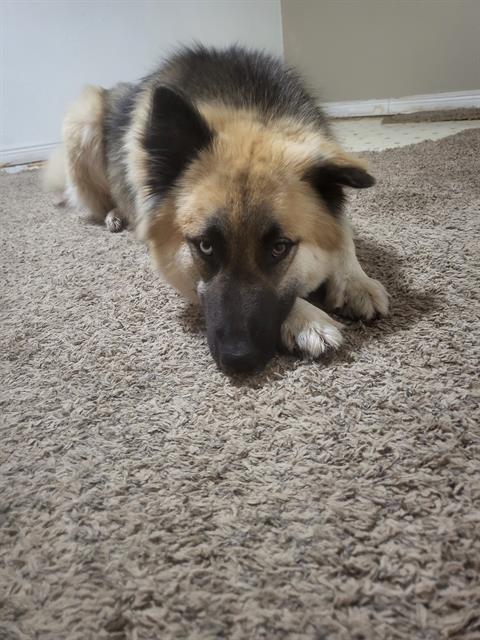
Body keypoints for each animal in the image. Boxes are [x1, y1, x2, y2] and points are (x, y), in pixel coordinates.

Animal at [44, 45, 390, 372]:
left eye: (279, 248)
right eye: (205, 246)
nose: (238, 359)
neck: (246, 108)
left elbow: (343, 233)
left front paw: (355, 281)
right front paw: (307, 319)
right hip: (83, 119)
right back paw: (115, 215)